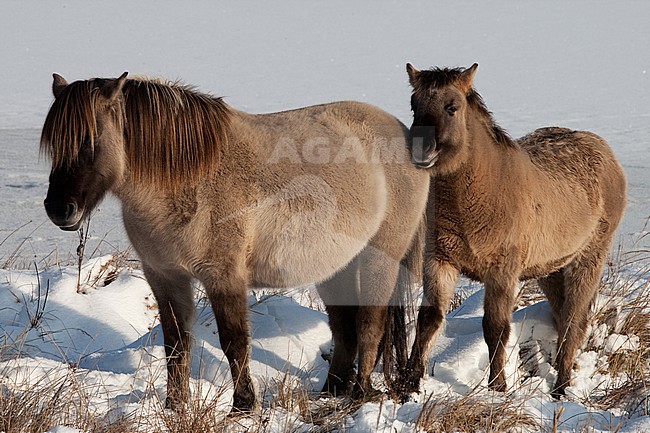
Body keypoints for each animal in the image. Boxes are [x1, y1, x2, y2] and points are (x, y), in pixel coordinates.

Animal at [40, 73, 430, 412]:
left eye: (90, 141)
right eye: (54, 143)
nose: (59, 209)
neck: (188, 181)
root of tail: (404, 136)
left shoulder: (223, 275)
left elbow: (234, 341)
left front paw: (243, 407)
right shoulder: (165, 277)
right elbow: (176, 345)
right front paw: (174, 408)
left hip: (380, 259)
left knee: (370, 325)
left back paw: (360, 394)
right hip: (336, 267)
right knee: (344, 330)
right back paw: (330, 394)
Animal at [401, 63, 626, 398]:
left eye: (451, 107)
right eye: (414, 105)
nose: (420, 151)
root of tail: (604, 151)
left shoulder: (502, 272)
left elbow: (495, 327)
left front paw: (498, 387)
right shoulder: (439, 261)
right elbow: (429, 319)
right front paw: (409, 385)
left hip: (588, 260)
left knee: (573, 322)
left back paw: (561, 388)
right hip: (551, 270)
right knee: (562, 316)